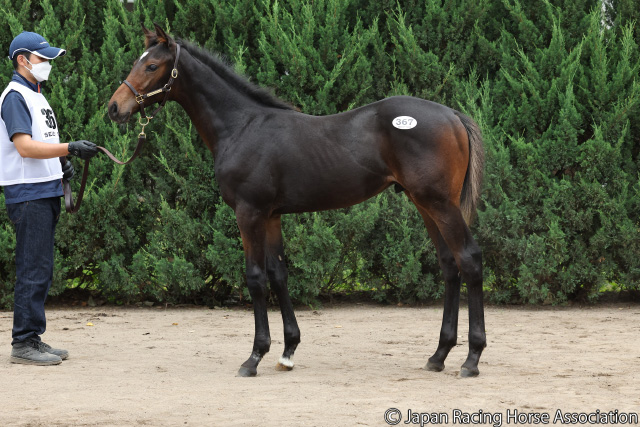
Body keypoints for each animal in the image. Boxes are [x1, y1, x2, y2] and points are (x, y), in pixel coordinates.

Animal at [108, 24, 486, 378]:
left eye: (152, 65)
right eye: (138, 61)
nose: (114, 108)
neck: (242, 126)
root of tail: (453, 116)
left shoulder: (249, 213)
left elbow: (256, 277)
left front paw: (254, 357)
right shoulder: (272, 215)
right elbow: (279, 274)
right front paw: (287, 351)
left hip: (440, 204)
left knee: (468, 259)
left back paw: (471, 359)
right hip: (424, 205)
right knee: (449, 265)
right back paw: (439, 355)